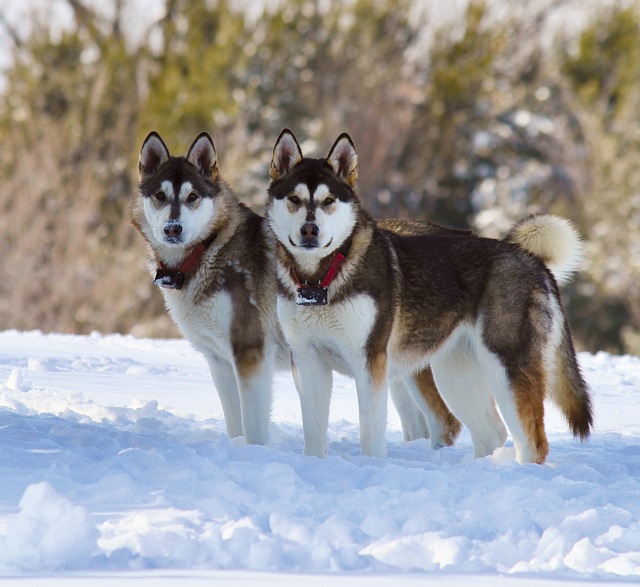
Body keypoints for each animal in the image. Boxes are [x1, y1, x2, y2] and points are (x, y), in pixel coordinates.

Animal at [131, 131, 460, 448]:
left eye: (193, 197)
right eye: (160, 195)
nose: (173, 229)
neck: (207, 251)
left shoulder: (251, 353)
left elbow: (253, 426)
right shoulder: (219, 362)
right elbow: (235, 424)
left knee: (446, 423)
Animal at [266, 129, 596, 464]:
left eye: (328, 200)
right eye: (294, 199)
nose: (310, 230)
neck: (321, 278)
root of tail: (532, 259)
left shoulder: (369, 362)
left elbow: (370, 433)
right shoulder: (307, 360)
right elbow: (313, 431)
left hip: (505, 368)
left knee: (533, 443)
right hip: (454, 373)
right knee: (491, 432)